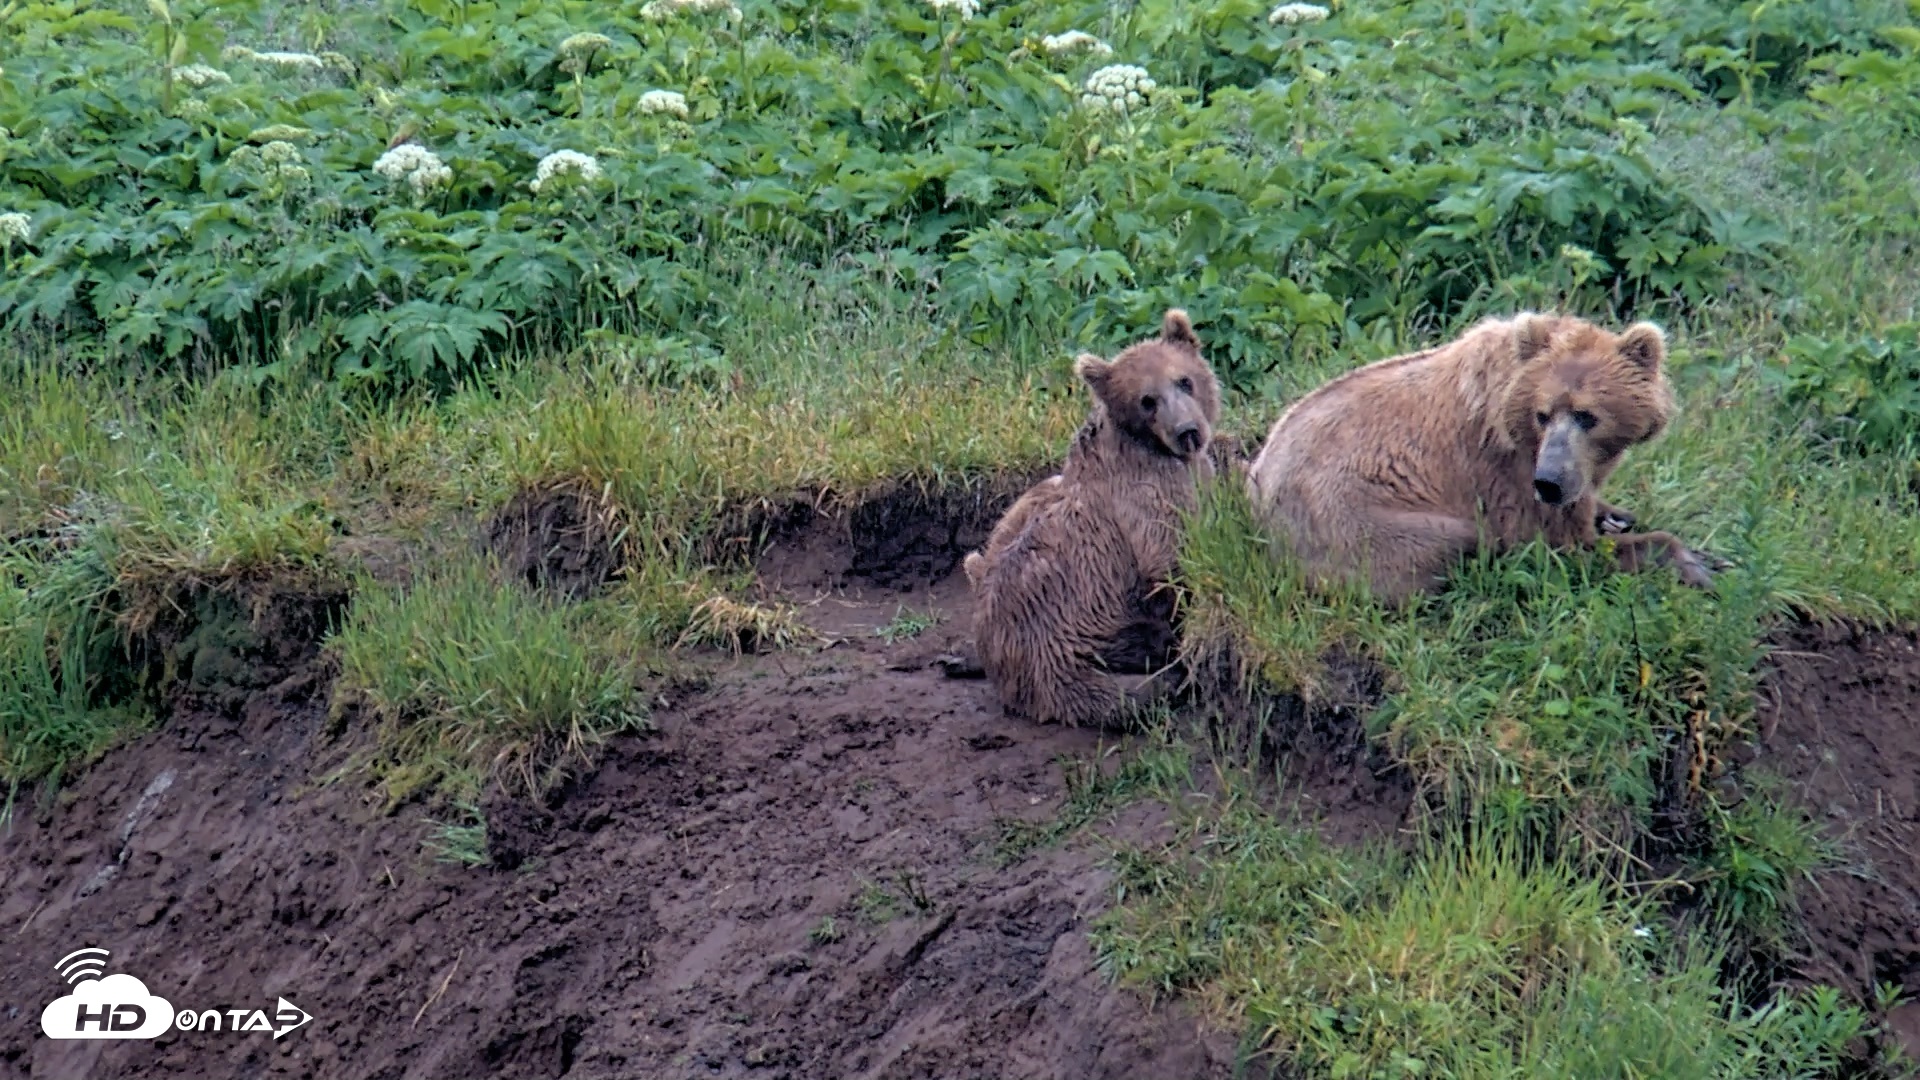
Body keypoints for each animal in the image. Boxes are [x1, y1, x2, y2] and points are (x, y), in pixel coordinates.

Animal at [962, 309, 1222, 727]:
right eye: (1147, 400)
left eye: (1184, 380)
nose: (1188, 432)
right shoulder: (1148, 492)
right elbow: (1171, 559)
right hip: (1080, 634)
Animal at [1243, 311, 1714, 604]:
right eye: (1544, 414)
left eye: (1588, 416)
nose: (1549, 482)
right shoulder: (1503, 469)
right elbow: (1554, 545)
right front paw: (1696, 563)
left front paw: (1616, 514)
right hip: (1356, 525)